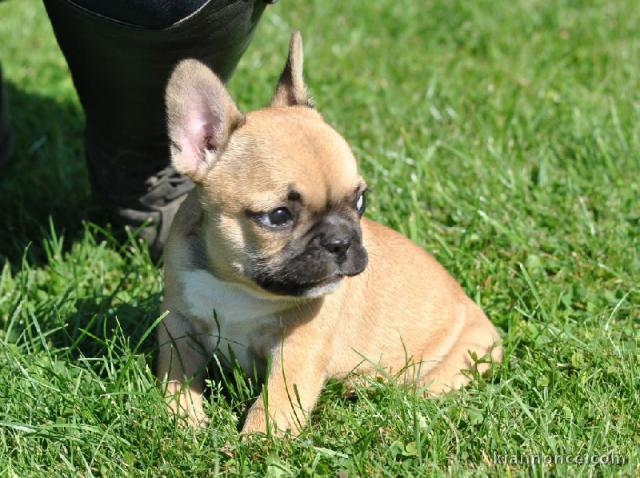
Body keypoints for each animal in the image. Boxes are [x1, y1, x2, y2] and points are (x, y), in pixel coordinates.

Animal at [158, 29, 502, 434]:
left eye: (360, 201)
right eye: (278, 216)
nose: (341, 242)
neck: (237, 286)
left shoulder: (298, 348)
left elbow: (275, 405)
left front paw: (255, 442)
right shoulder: (178, 324)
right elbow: (176, 374)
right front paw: (182, 420)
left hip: (451, 368)